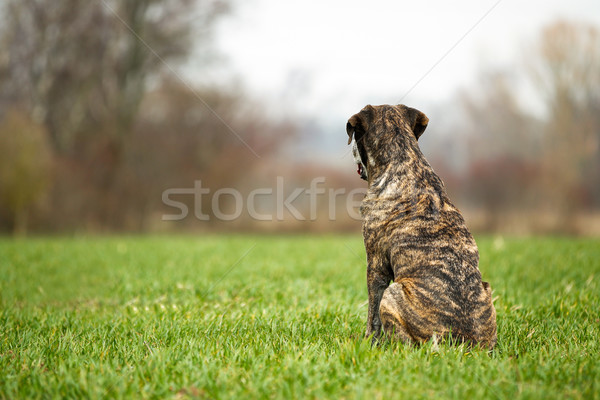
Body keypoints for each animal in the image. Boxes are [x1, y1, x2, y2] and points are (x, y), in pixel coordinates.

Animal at [346, 104, 496, 348]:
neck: (404, 159)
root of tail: (460, 342)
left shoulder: (376, 265)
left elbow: (372, 316)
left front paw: (368, 342)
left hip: (392, 293)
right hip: (486, 289)